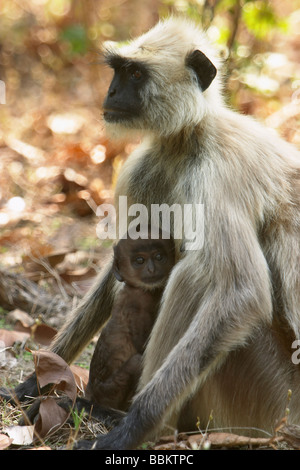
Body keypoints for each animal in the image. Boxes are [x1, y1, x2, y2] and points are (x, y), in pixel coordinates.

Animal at [84, 229, 176, 412]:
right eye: (140, 260)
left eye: (159, 256)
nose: (151, 268)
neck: (136, 288)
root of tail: (91, 392)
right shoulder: (137, 304)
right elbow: (142, 346)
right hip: (109, 392)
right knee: (136, 361)